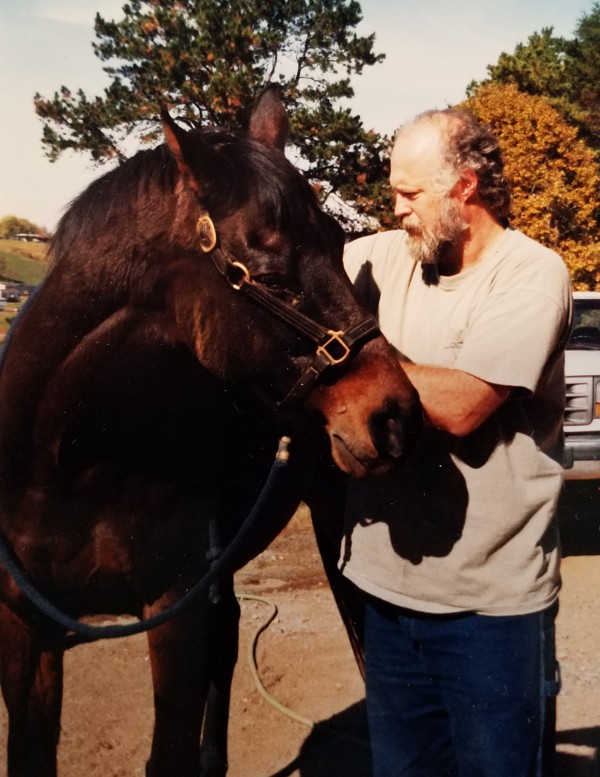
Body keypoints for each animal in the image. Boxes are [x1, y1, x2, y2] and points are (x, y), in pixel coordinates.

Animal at [0, 86, 420, 776]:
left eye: (337, 243)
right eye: (269, 271)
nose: (394, 413)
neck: (67, 461)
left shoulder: (174, 614)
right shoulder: (26, 633)